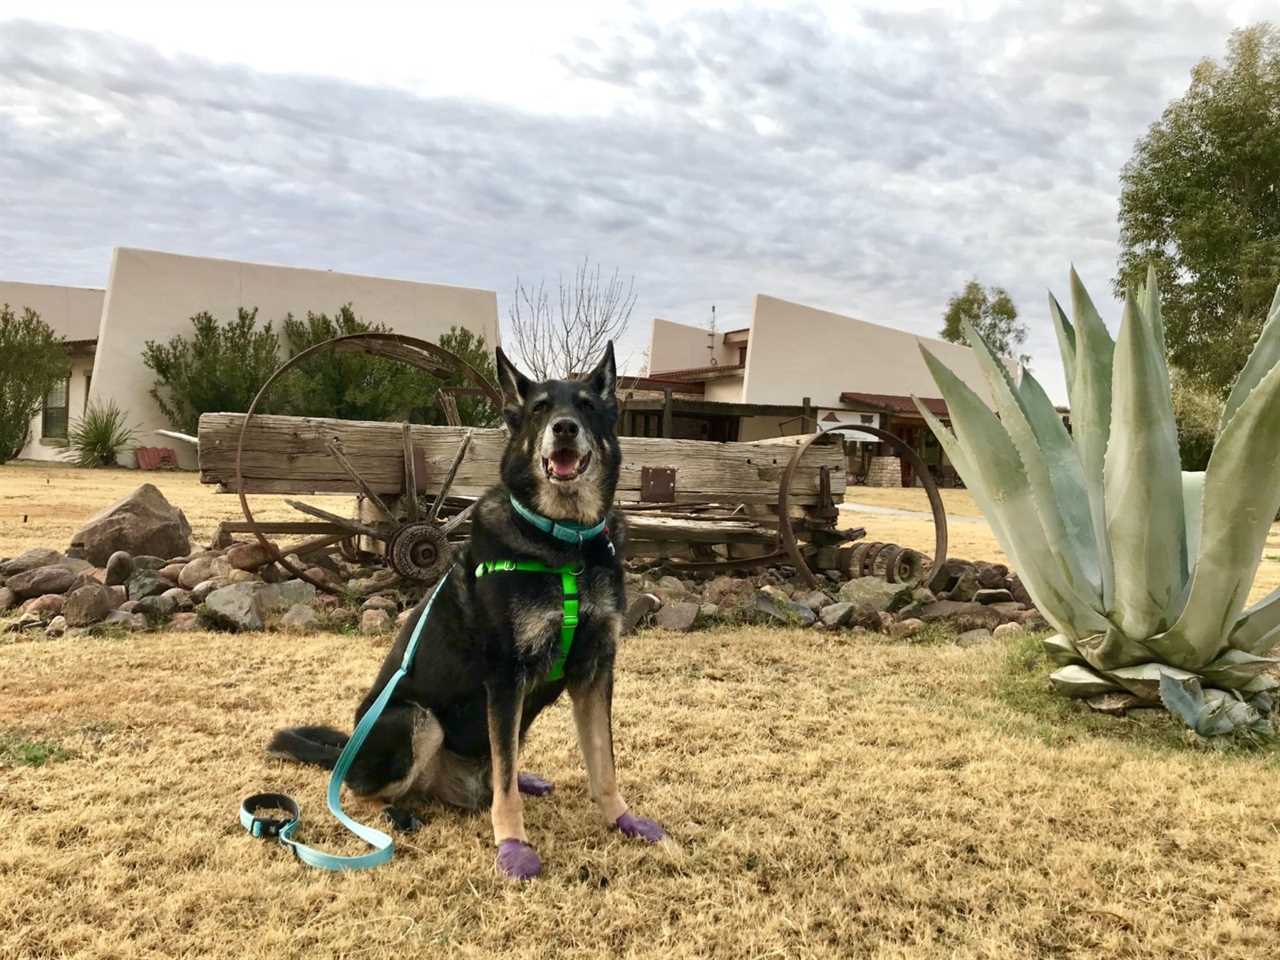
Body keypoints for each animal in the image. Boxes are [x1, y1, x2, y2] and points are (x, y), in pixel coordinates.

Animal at [262, 343, 660, 885]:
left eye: (586, 406)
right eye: (540, 409)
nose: (563, 428)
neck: (564, 541)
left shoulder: (595, 671)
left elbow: (604, 761)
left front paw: (622, 818)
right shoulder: (506, 677)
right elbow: (507, 790)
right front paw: (512, 846)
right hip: (416, 719)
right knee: (364, 792)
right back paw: (397, 815)